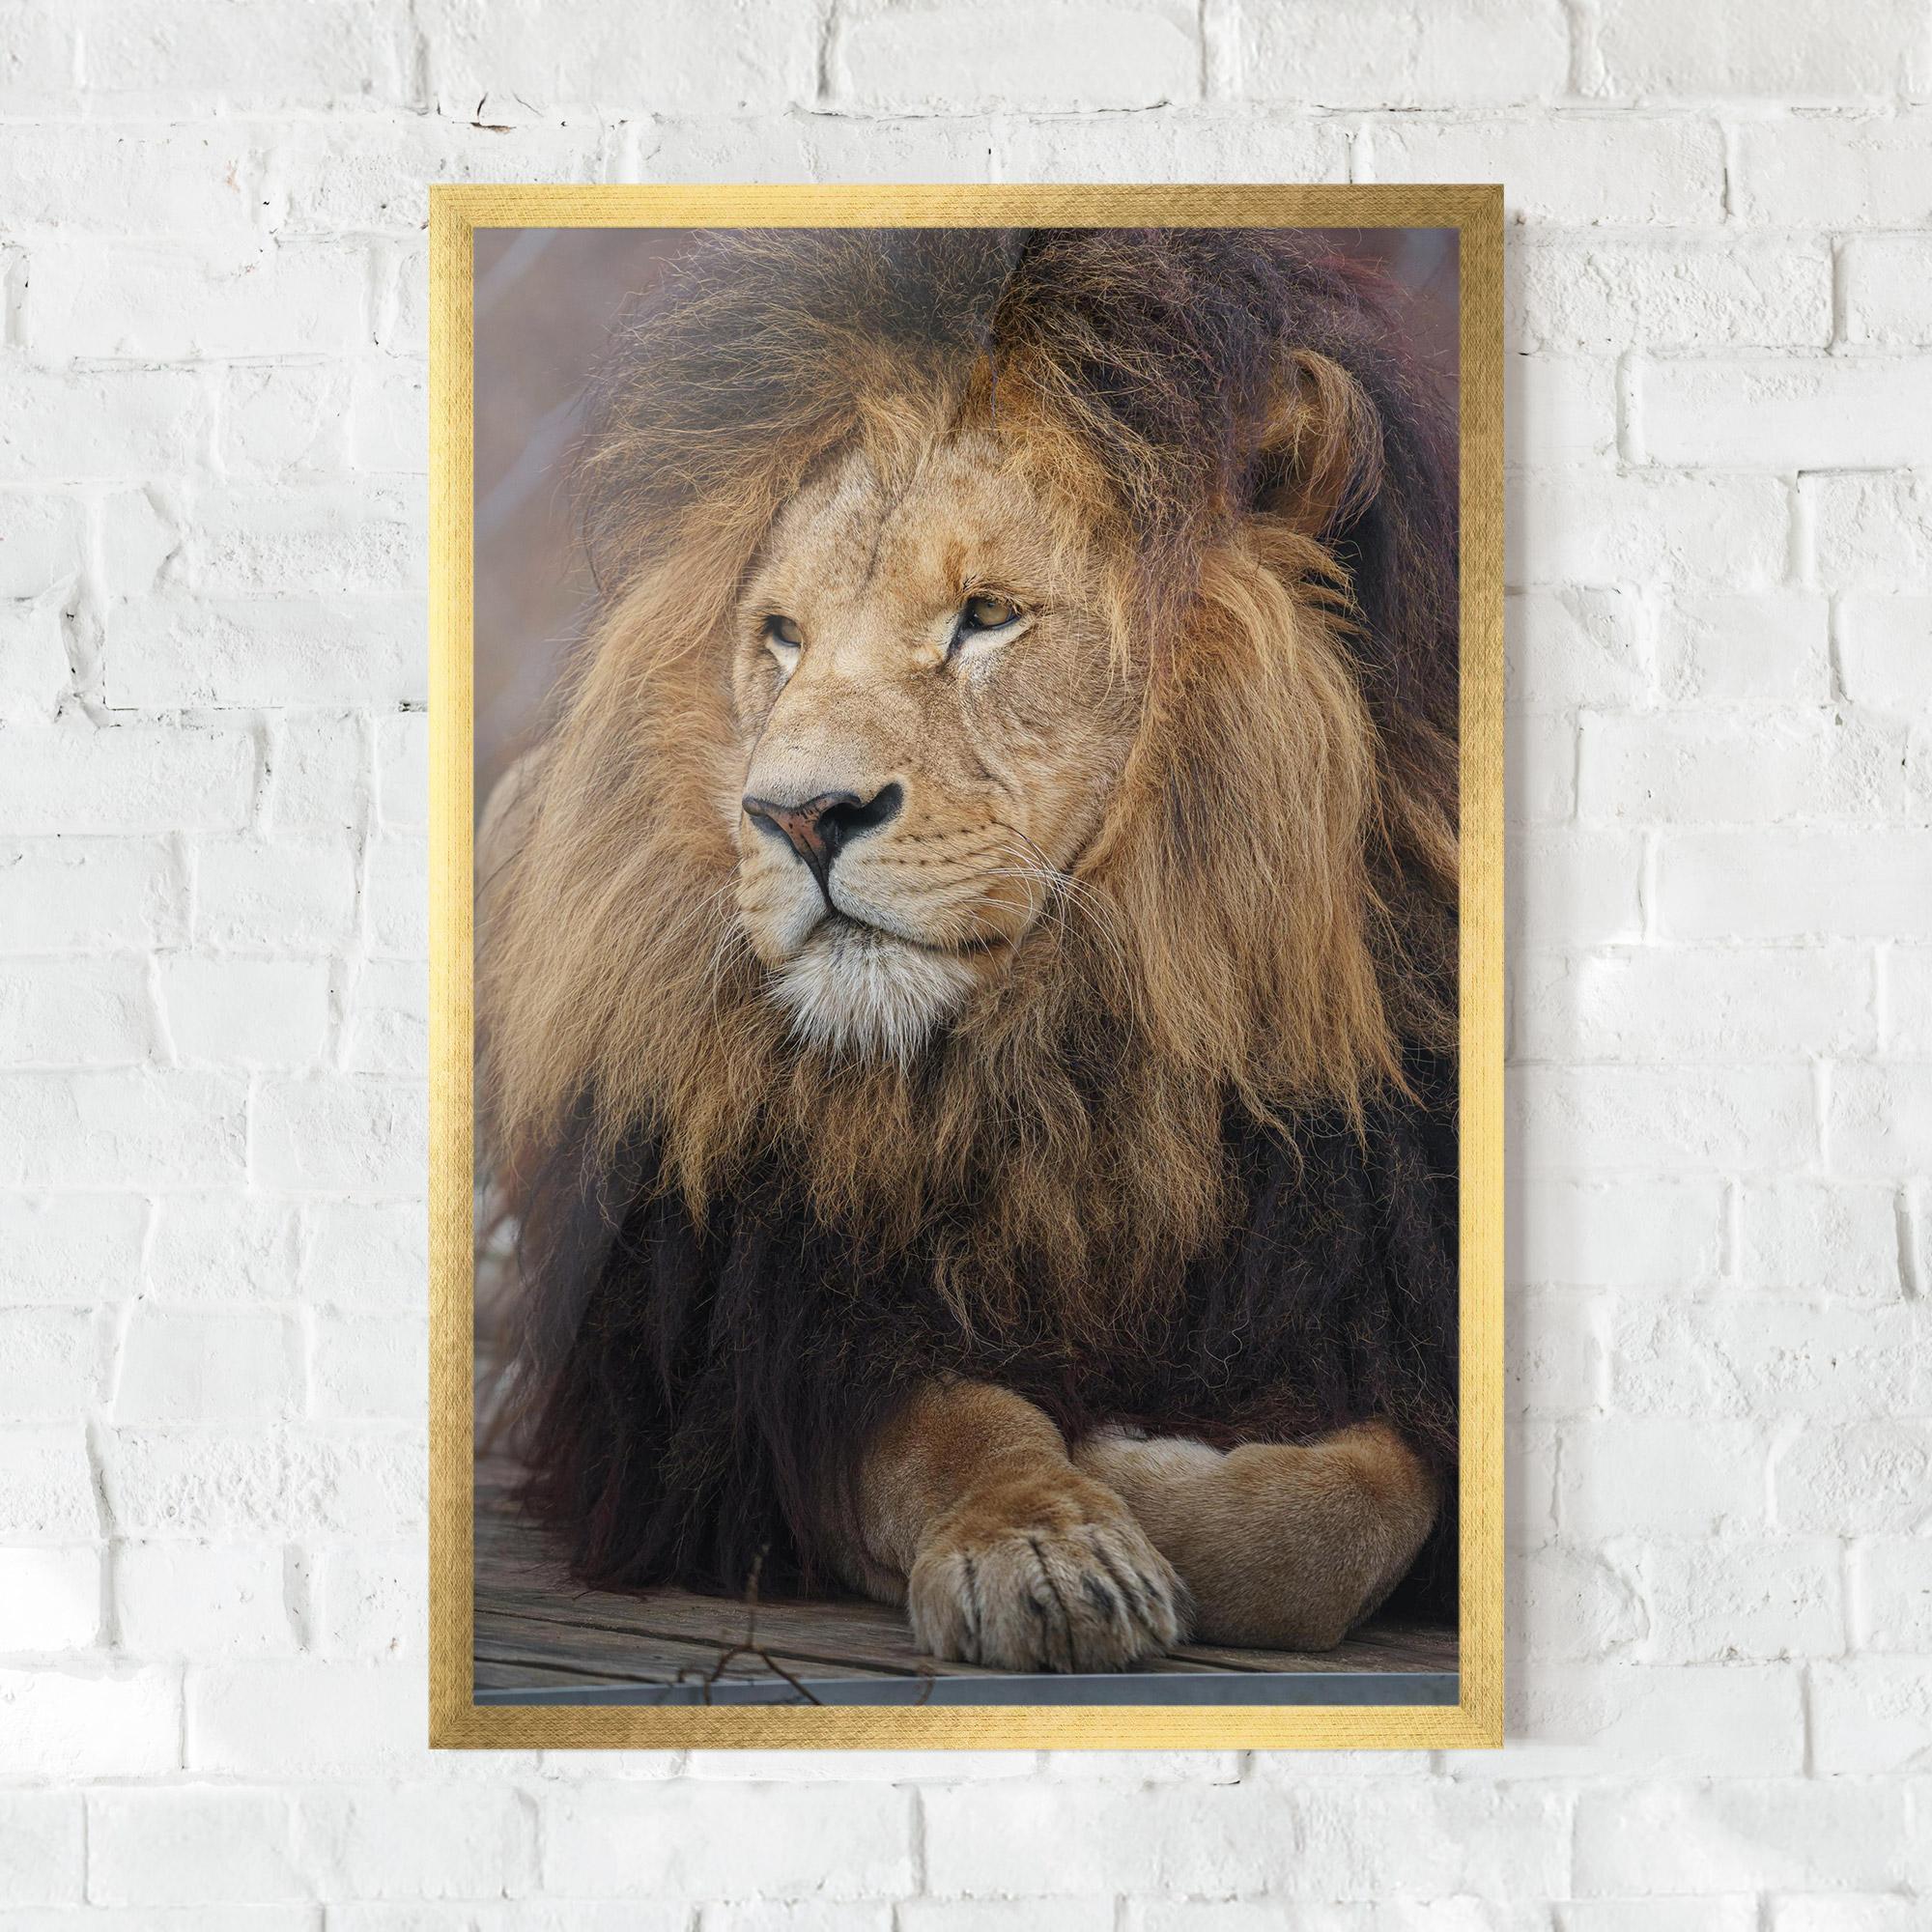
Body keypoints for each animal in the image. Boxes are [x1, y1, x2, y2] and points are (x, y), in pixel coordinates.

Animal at [480, 227, 1460, 1672]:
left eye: (988, 616)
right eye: (781, 638)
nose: (795, 815)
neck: (1077, 1059)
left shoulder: (1371, 1295)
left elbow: (1351, 1518)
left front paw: (1147, 1462)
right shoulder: (749, 1358)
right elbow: (950, 1431)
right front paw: (1052, 1542)